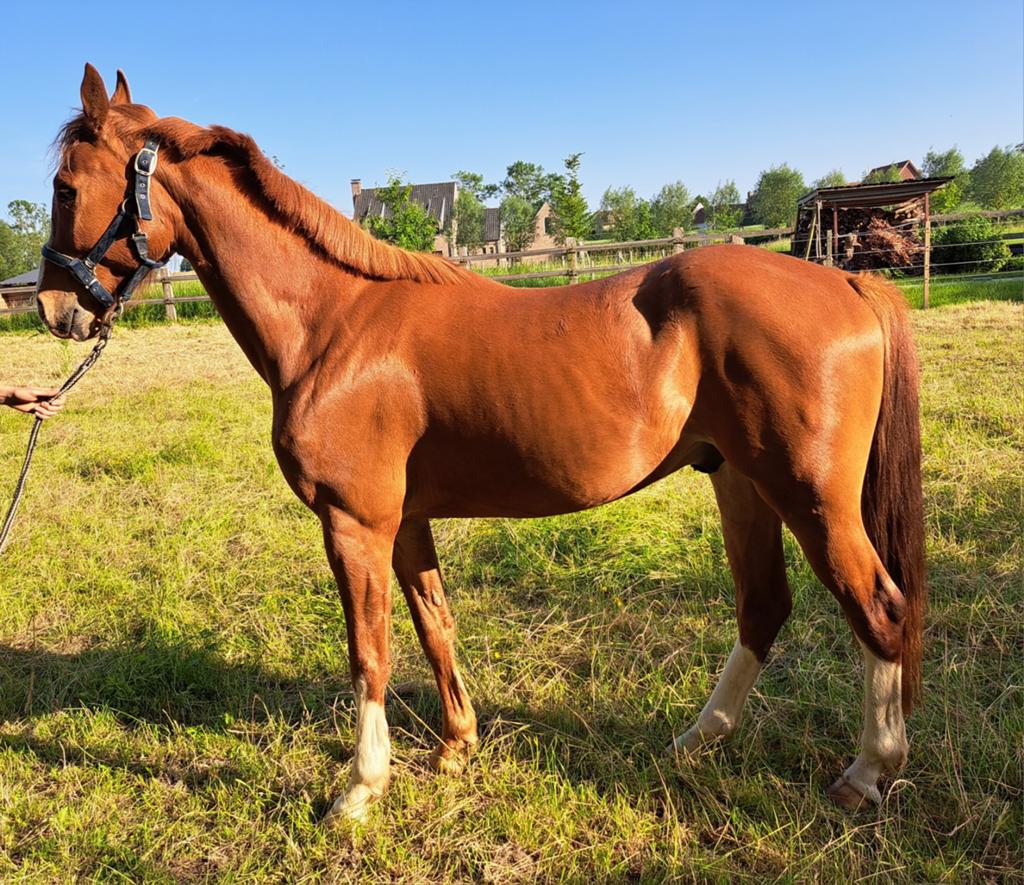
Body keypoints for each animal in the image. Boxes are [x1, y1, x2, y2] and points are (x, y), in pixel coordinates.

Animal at [35, 65, 925, 821]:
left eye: (66, 185)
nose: (51, 307)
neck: (335, 323)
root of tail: (847, 281)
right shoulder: (404, 523)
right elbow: (435, 624)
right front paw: (456, 749)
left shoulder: (354, 524)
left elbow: (369, 651)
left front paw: (360, 790)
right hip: (740, 482)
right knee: (764, 607)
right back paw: (695, 740)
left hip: (810, 496)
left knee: (878, 607)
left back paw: (867, 772)